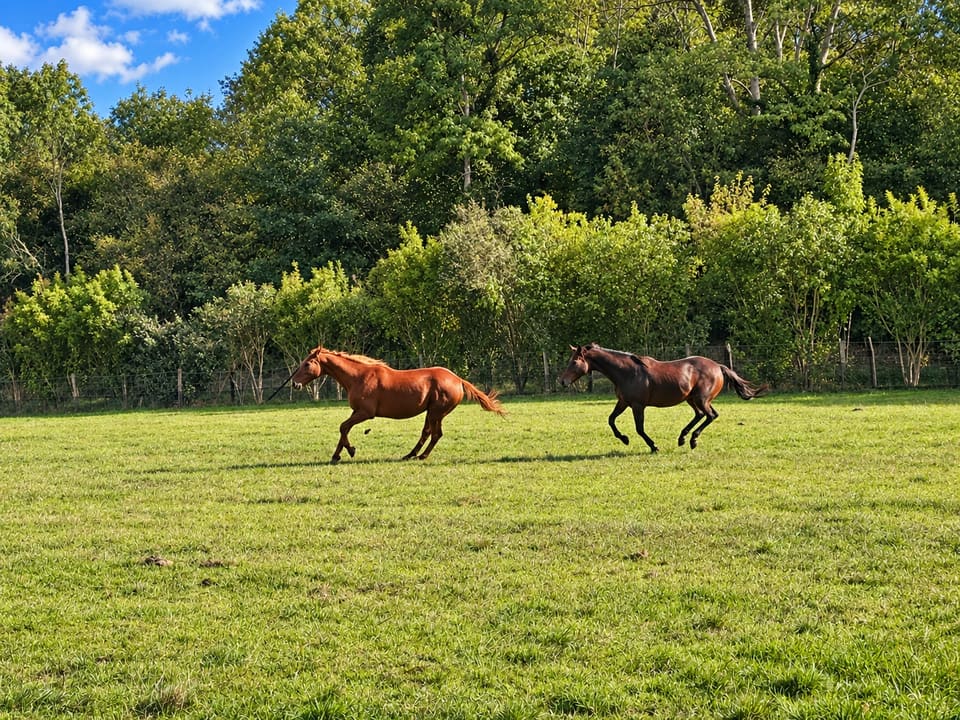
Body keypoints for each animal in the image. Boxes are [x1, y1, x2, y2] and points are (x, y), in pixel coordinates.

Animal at [282, 345, 505, 463]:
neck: (358, 377)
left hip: (436, 412)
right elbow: (344, 429)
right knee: (427, 433)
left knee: (435, 434)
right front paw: (338, 454)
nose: (294, 383)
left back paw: (422, 456)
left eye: (307, 364)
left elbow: (343, 427)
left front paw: (349, 451)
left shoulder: (365, 413)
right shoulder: (356, 412)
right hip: (430, 412)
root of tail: (458, 379)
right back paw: (410, 454)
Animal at [558, 343, 768, 452]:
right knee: (702, 415)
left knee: (710, 415)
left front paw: (653, 446)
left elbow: (639, 428)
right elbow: (611, 420)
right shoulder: (624, 402)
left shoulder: (638, 405)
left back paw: (692, 440)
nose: (562, 381)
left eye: (575, 362)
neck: (627, 372)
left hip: (701, 399)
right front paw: (624, 439)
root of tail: (718, 366)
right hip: (693, 399)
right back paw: (683, 438)